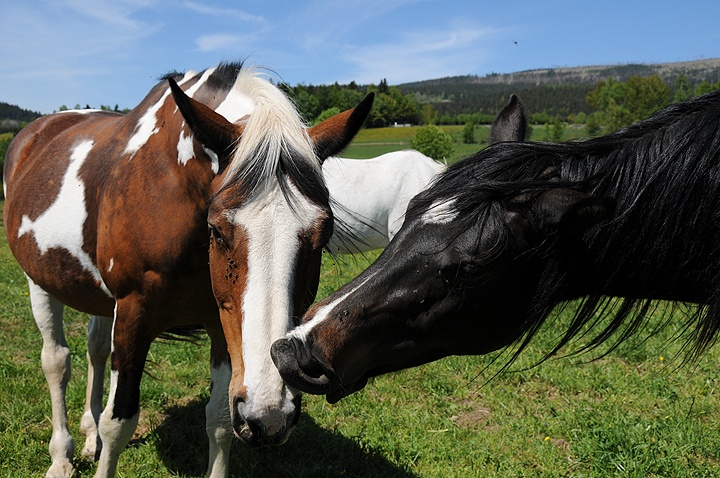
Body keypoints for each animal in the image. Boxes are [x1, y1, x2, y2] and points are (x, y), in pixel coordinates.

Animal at [5, 61, 374, 476]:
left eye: (322, 235)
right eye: (217, 229)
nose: (269, 415)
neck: (170, 190)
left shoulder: (221, 323)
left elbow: (219, 420)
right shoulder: (132, 313)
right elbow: (118, 423)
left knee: (94, 350)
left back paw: (87, 435)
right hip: (39, 282)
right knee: (56, 362)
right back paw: (61, 457)